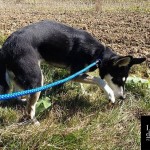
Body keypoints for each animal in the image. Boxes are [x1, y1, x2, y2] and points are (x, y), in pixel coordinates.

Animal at [0, 20, 145, 123]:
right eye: (117, 80)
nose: (123, 97)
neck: (99, 54)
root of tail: (6, 47)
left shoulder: (77, 73)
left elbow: (82, 83)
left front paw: (85, 92)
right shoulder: (75, 72)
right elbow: (98, 79)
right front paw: (109, 94)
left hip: (20, 77)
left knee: (17, 95)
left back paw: (23, 100)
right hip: (36, 78)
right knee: (30, 109)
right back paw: (34, 122)